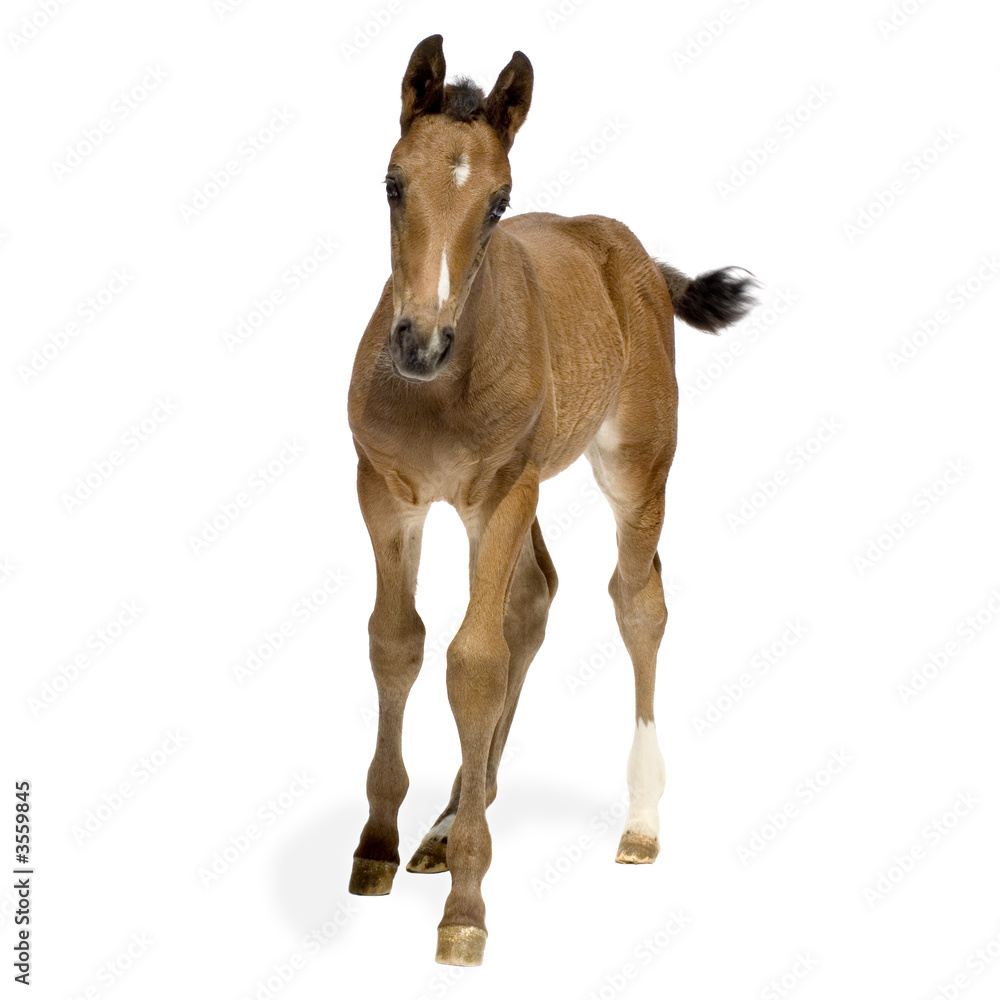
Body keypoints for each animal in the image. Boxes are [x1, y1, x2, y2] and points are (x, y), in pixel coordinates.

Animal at [346, 34, 757, 966]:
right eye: (392, 182)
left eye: (500, 202)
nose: (420, 343)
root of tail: (628, 250)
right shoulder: (386, 493)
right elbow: (398, 643)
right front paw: (379, 844)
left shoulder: (499, 493)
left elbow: (474, 663)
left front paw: (465, 909)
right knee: (535, 596)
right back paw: (449, 819)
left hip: (631, 465)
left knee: (636, 602)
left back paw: (639, 824)